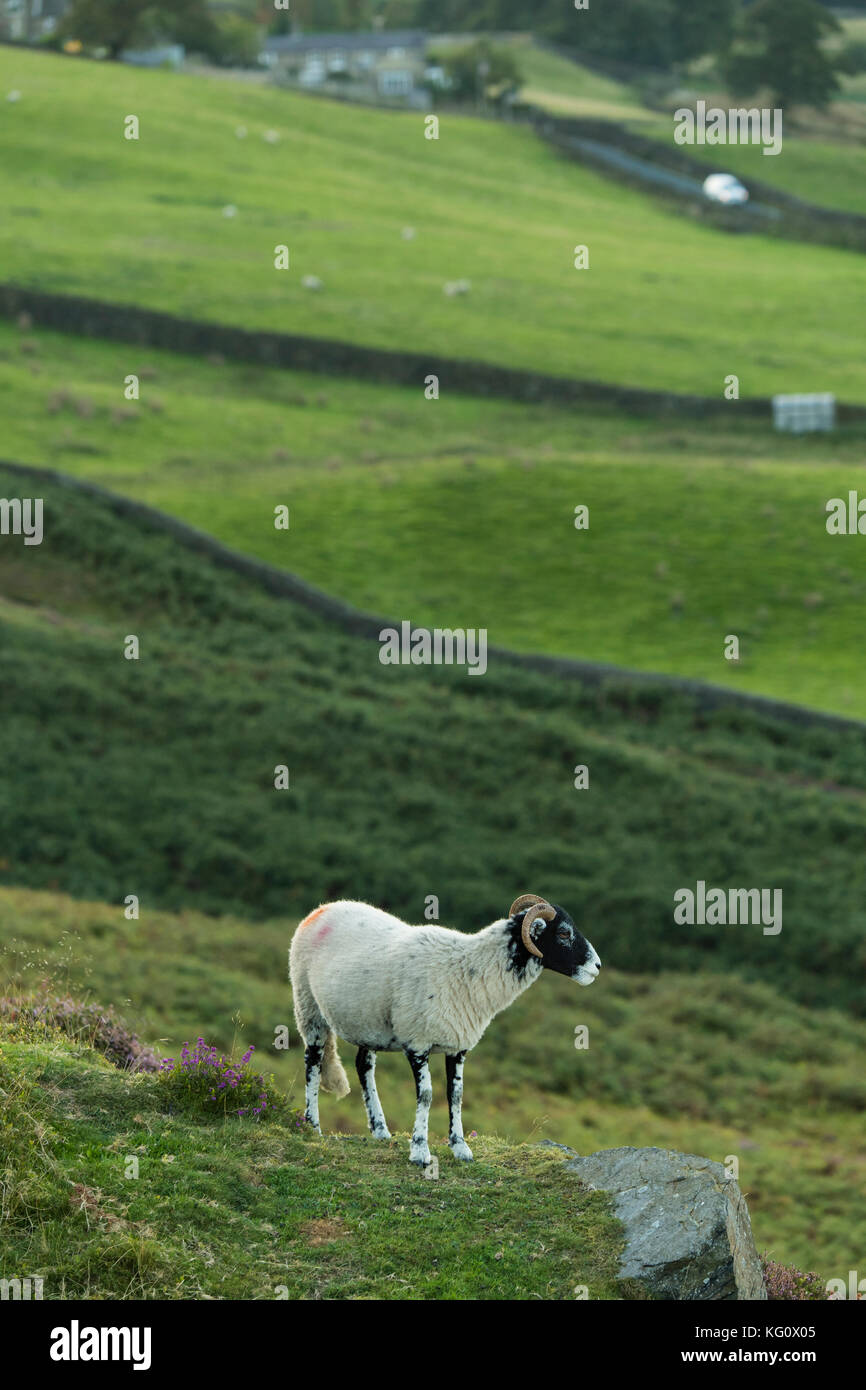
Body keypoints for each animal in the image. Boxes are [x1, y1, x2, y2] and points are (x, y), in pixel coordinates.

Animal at [289, 894, 601, 1166]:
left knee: (363, 1065)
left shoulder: (458, 1045)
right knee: (313, 1062)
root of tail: (322, 908)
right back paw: (312, 1126)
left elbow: (456, 1095)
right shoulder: (417, 1043)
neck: (467, 970)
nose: (597, 966)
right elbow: (427, 1094)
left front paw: (460, 1148)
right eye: (563, 934)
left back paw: (380, 1130)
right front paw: (419, 1151)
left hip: (367, 1022)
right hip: (308, 1005)